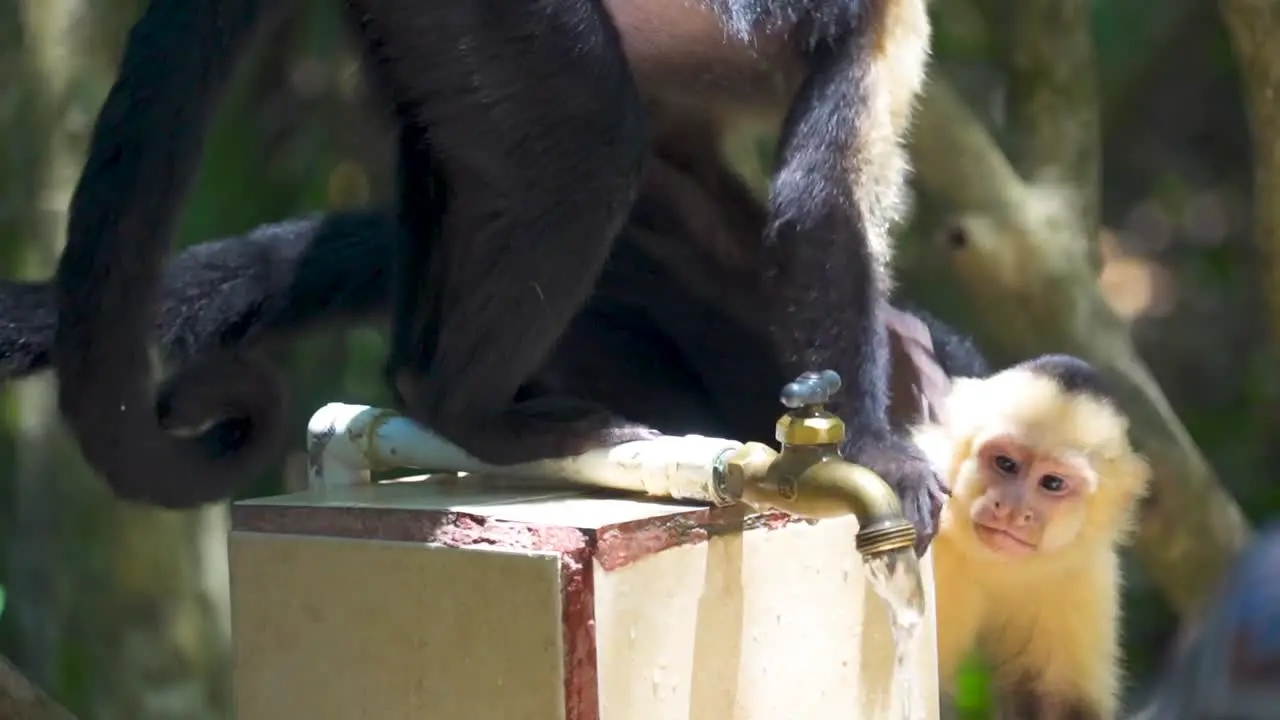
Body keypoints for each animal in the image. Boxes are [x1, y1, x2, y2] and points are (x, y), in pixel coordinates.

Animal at [52, 0, 942, 527]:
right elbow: (816, 206)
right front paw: (874, 447)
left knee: (450, 141)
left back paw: (418, 382)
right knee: (589, 145)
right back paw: (468, 409)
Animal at [916, 356, 1157, 717]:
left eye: (1053, 483)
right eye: (1006, 463)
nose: (1011, 511)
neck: (997, 564)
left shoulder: (1085, 574)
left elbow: (1059, 699)